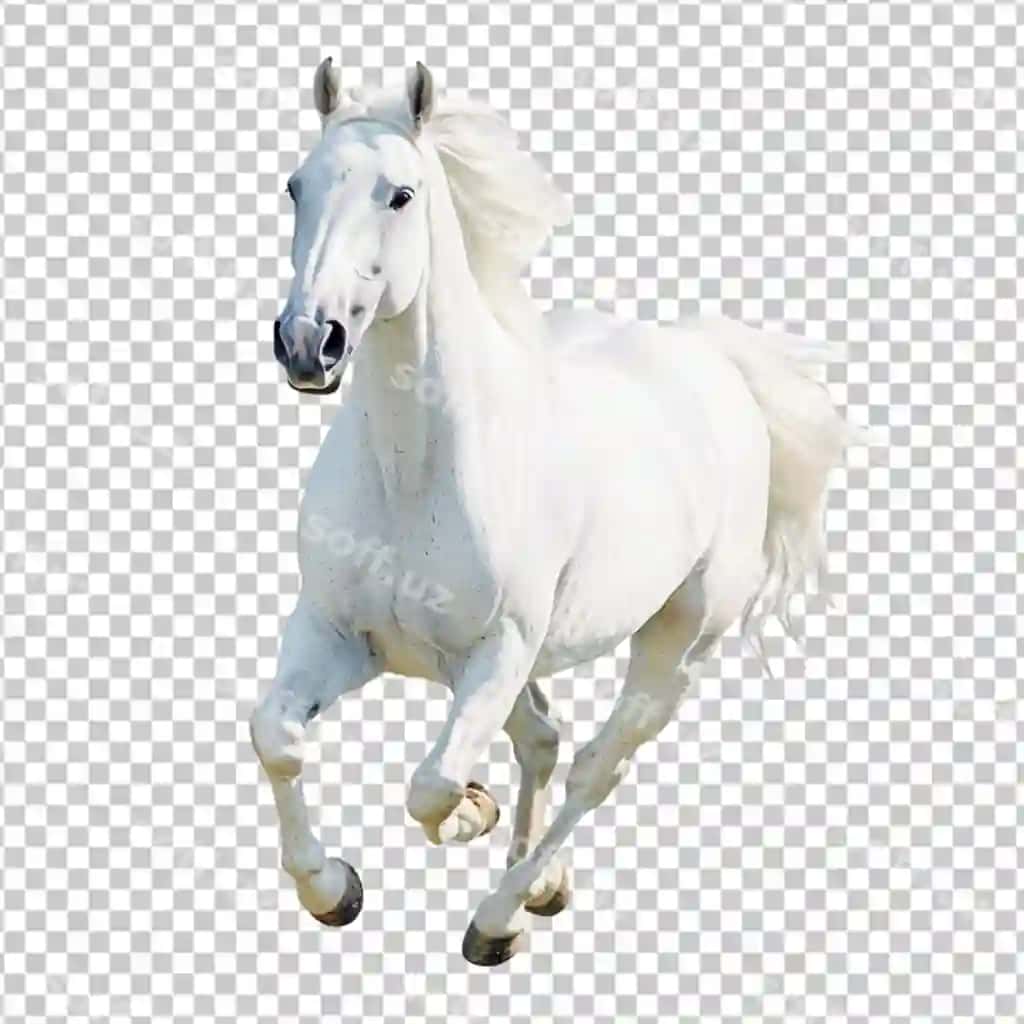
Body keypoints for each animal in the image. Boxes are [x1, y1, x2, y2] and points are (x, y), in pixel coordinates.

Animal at [249, 60, 849, 966]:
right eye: (296, 186)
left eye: (401, 195)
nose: (307, 342)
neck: (412, 470)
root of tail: (715, 361)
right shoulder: (336, 634)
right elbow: (277, 741)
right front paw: (333, 891)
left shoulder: (494, 651)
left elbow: (429, 785)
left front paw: (469, 812)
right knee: (547, 740)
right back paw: (537, 883)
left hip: (679, 645)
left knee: (597, 766)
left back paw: (502, 914)